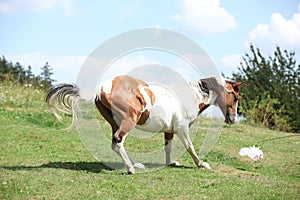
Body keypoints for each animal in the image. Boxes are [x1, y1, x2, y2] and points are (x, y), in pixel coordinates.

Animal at [47, 74, 244, 173]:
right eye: (235, 97)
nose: (232, 119)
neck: (191, 96)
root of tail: (101, 88)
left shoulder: (170, 130)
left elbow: (168, 147)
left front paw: (171, 163)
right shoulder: (182, 129)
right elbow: (190, 147)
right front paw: (201, 164)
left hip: (115, 122)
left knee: (115, 144)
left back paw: (135, 165)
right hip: (128, 122)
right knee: (118, 141)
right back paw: (130, 168)